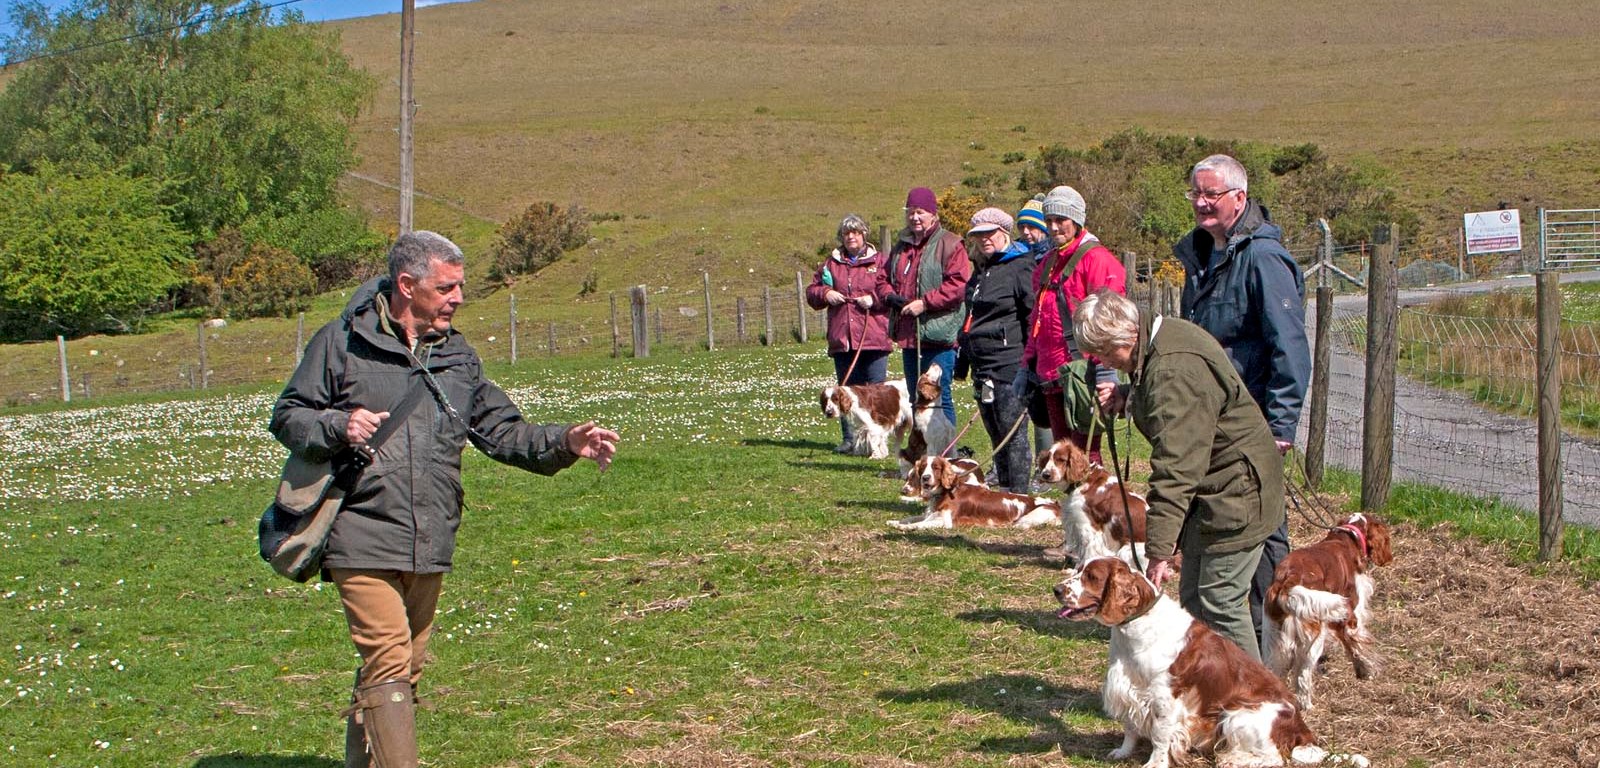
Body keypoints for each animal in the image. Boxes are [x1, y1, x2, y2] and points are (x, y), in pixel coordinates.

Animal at [889, 452, 1058, 530]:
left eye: (936, 467)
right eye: (923, 467)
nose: (925, 478)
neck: (945, 493)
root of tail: (1056, 504)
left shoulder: (945, 522)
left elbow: (918, 524)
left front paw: (903, 527)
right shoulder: (930, 515)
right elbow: (911, 518)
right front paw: (895, 521)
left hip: (1027, 519)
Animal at [1035, 439, 1148, 568]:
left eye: (1061, 459)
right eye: (1047, 459)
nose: (1045, 474)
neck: (1083, 481)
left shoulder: (1088, 527)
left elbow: (1089, 553)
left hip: (1127, 550)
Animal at [1054, 557, 1366, 768]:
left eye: (1092, 576)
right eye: (1079, 570)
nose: (1057, 589)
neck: (1136, 628)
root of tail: (1302, 729)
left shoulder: (1164, 699)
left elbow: (1159, 736)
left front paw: (1154, 763)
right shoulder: (1129, 687)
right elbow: (1130, 726)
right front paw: (1122, 752)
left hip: (1237, 715)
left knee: (1274, 757)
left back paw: (1232, 758)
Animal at [1263, 513, 1394, 711]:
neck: (1347, 538)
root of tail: (1287, 581)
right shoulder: (1352, 615)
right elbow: (1358, 646)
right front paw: (1368, 671)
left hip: (1273, 637)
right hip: (1313, 640)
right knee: (1303, 676)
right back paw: (1307, 705)